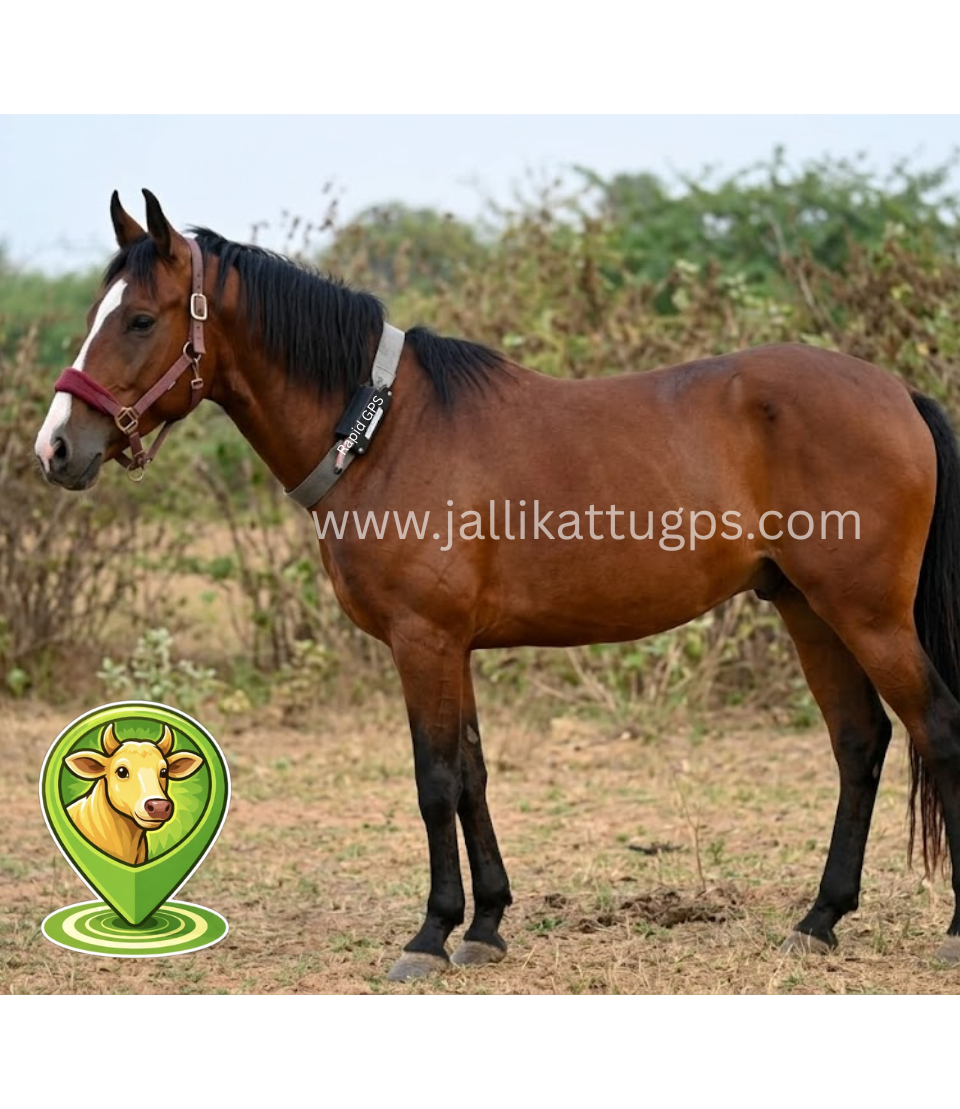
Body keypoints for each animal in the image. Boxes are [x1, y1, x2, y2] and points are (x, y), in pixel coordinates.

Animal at [35, 189, 960, 980]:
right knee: (860, 743)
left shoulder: (424, 640)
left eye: (141, 319)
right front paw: (485, 925)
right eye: (92, 316)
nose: (56, 449)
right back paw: (819, 919)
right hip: (809, 610)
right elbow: (472, 772)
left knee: (937, 727)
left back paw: (945, 930)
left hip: (867, 614)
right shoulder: (456, 647)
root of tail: (898, 393)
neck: (380, 429)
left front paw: (431, 933)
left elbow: (435, 778)